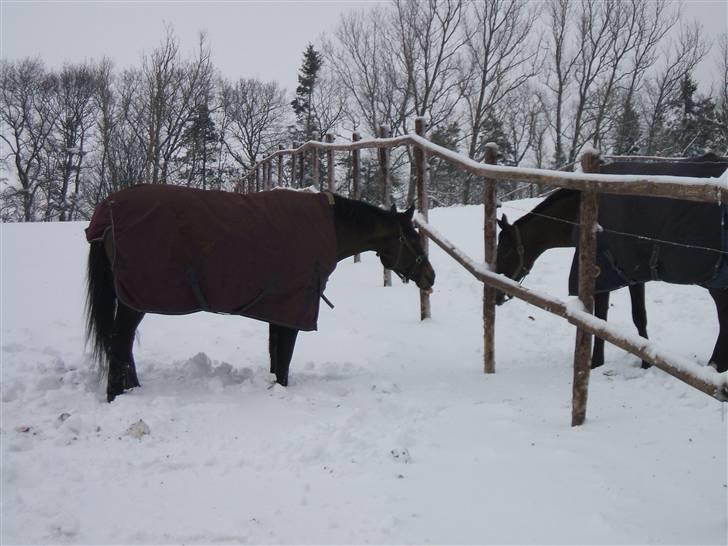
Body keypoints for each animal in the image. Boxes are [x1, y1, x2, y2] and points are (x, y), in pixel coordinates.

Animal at [87, 186, 436, 400]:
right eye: (413, 238)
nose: (431, 276)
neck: (329, 228)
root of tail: (108, 212)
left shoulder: (279, 306)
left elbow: (276, 355)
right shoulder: (295, 306)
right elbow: (284, 360)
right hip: (134, 301)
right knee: (119, 342)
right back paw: (117, 395)